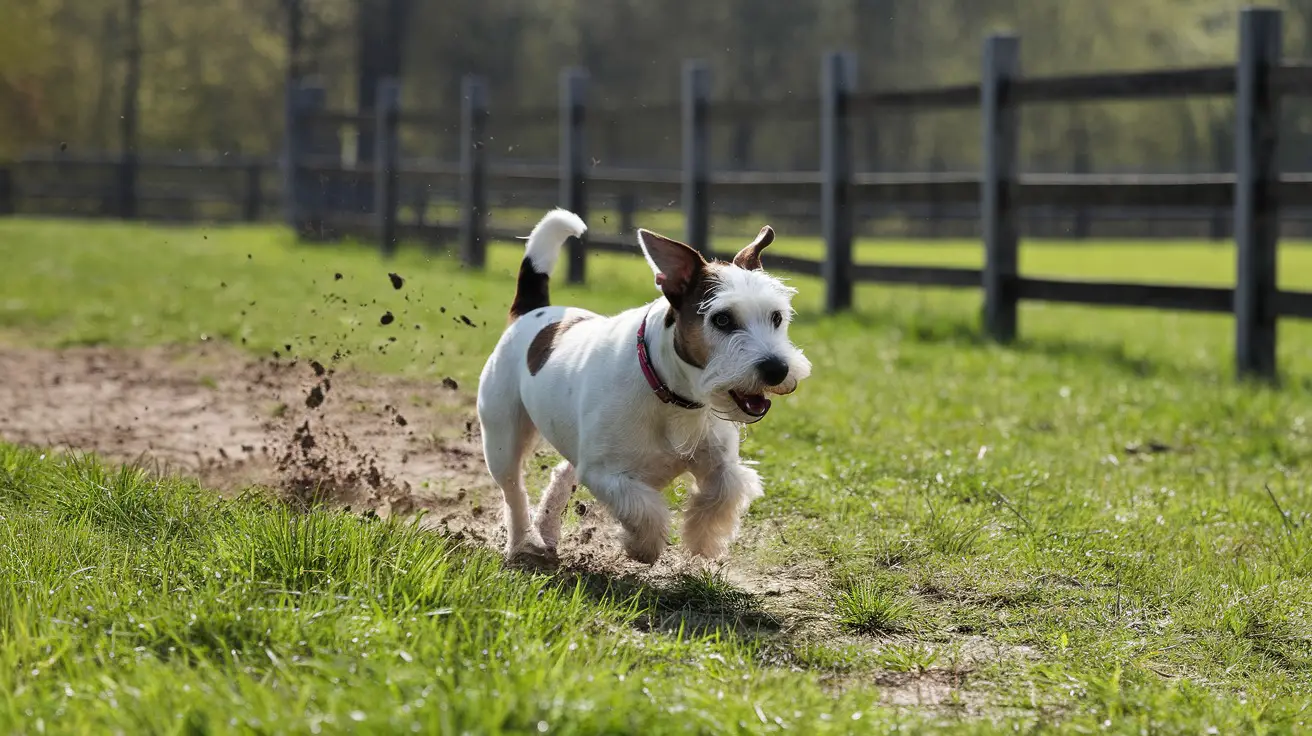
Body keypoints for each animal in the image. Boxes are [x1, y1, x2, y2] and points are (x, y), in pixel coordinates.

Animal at [477, 209, 808, 564]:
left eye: (776, 317)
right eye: (722, 319)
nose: (777, 369)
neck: (672, 393)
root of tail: (532, 311)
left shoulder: (717, 462)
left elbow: (723, 491)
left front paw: (702, 541)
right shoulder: (605, 473)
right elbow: (642, 507)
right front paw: (644, 545)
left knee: (562, 473)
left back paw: (548, 528)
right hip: (501, 439)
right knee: (513, 491)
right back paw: (522, 543)